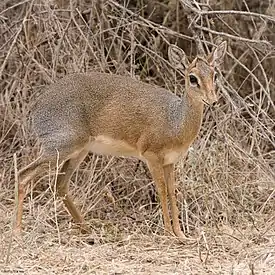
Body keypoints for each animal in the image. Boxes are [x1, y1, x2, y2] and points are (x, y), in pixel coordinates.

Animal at [15, 41, 226, 239]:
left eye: (214, 75)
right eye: (193, 78)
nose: (213, 100)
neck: (175, 121)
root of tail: (36, 106)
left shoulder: (170, 162)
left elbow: (173, 192)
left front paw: (181, 234)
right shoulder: (151, 157)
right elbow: (162, 190)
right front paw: (168, 232)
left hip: (78, 152)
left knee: (60, 185)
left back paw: (87, 229)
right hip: (59, 148)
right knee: (23, 175)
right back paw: (17, 231)